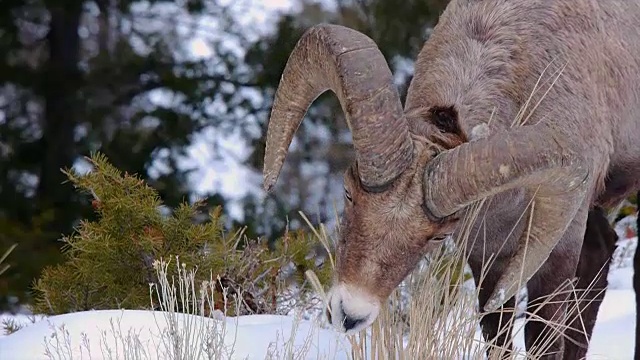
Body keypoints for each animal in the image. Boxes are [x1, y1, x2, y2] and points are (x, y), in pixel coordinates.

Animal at [260, 1, 640, 358]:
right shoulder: (489, 258)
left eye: (438, 235)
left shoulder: (556, 253)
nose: (349, 314)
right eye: (349, 192)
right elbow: (497, 335)